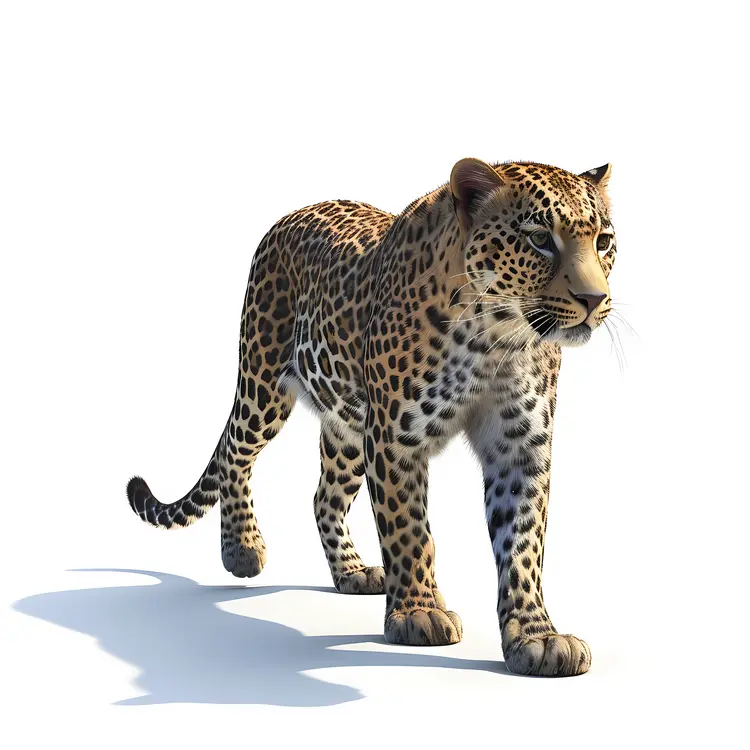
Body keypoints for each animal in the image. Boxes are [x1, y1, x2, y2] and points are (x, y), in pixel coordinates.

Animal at [127, 158, 617, 677]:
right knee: (234, 453)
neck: (496, 339)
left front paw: (536, 636)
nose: (593, 299)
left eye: (604, 241)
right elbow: (409, 530)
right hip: (264, 384)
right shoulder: (396, 437)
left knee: (323, 497)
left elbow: (523, 544)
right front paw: (420, 612)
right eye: (539, 238)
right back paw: (242, 549)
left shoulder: (520, 446)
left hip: (346, 428)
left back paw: (352, 571)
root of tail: (295, 212)